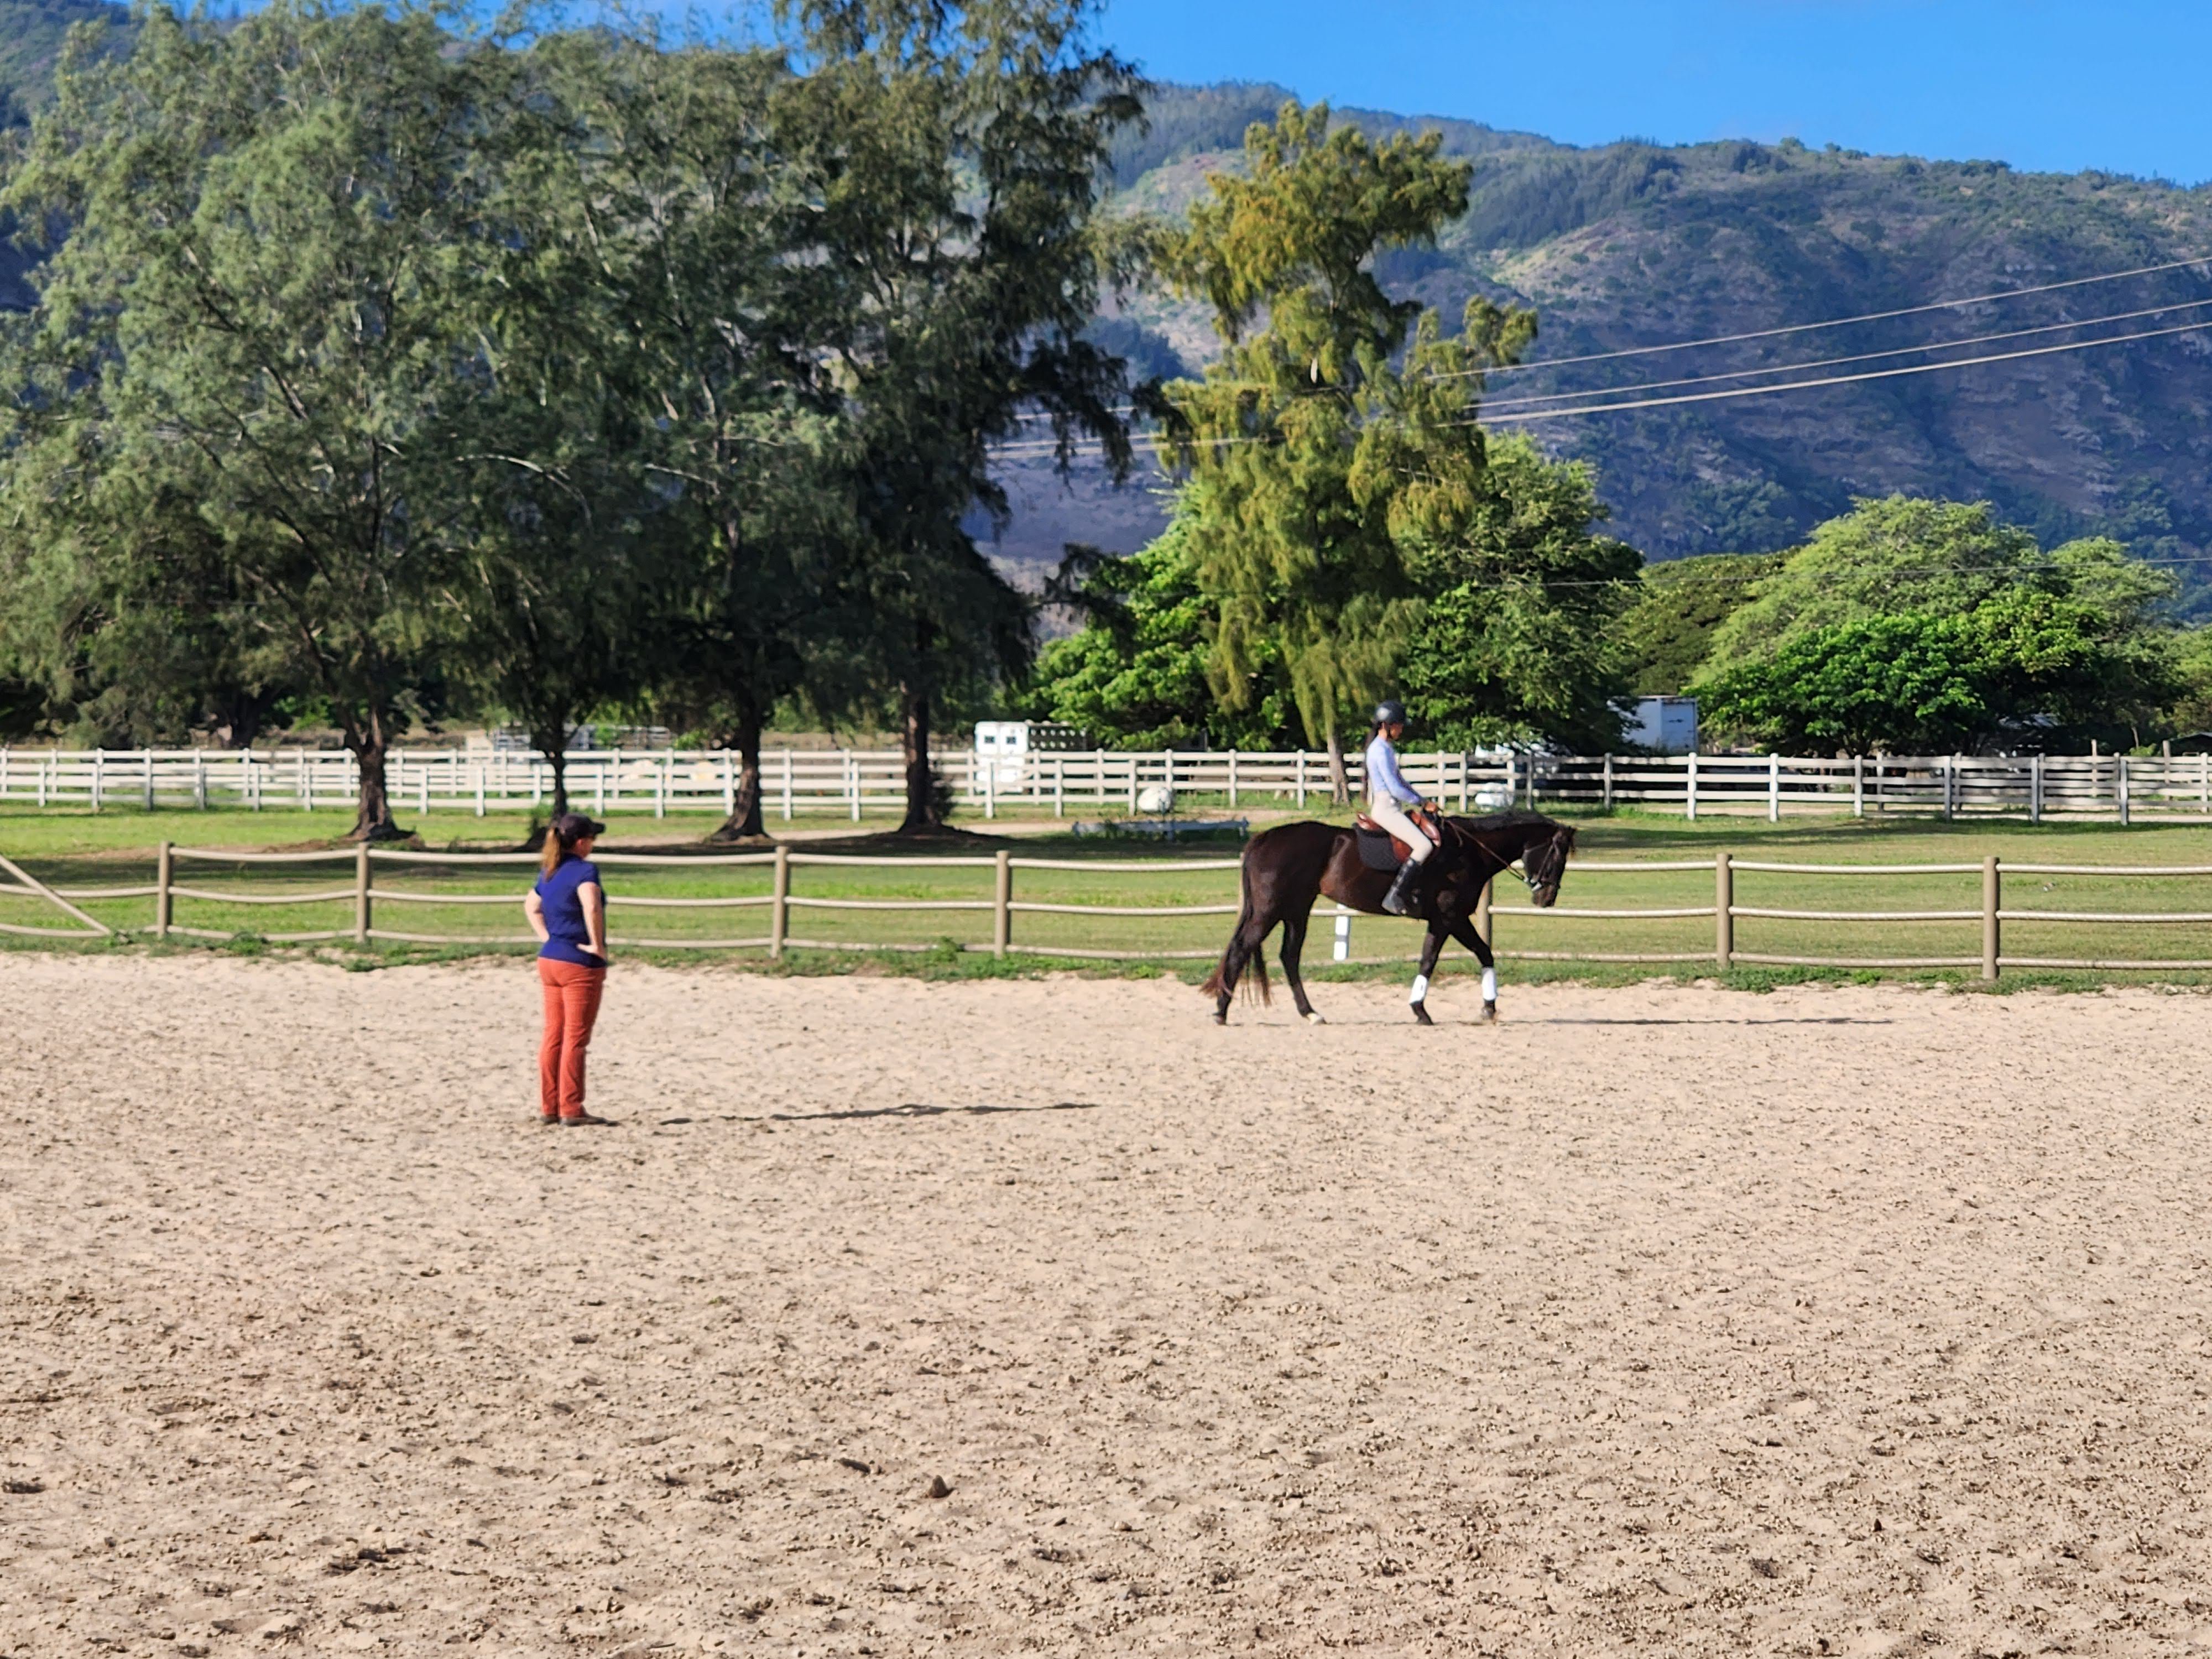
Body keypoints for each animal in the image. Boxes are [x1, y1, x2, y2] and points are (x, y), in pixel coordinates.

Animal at [1200, 810, 1577, 1026]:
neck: (1469, 850)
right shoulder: (1451, 918)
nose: (1546, 898)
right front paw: (1432, 1011)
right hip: (1270, 911)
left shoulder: (1444, 921)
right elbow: (1444, 958)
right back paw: (1221, 1011)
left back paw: (1310, 1013)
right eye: (1557, 855)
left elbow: (1465, 956)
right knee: (1243, 949)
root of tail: (1264, 838)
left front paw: (1479, 1008)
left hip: (1296, 910)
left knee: (1288, 956)